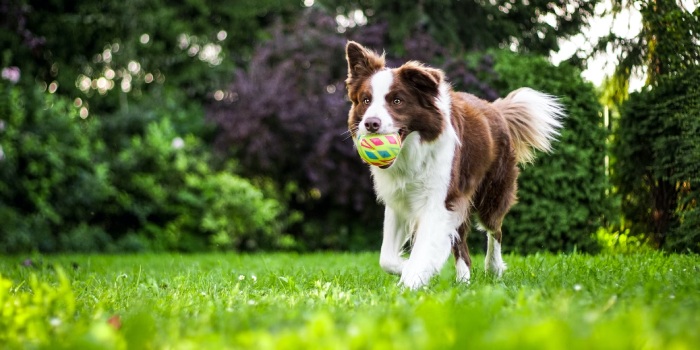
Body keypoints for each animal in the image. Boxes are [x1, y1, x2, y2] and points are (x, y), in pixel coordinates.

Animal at [344, 41, 564, 288]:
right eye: (366, 100)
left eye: (397, 101)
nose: (371, 123)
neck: (412, 152)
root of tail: (496, 109)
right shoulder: (399, 200)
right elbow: (387, 258)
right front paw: (409, 268)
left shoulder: (439, 200)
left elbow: (423, 248)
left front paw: (411, 280)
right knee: (462, 246)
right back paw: (464, 281)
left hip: (492, 192)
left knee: (494, 229)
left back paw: (493, 268)